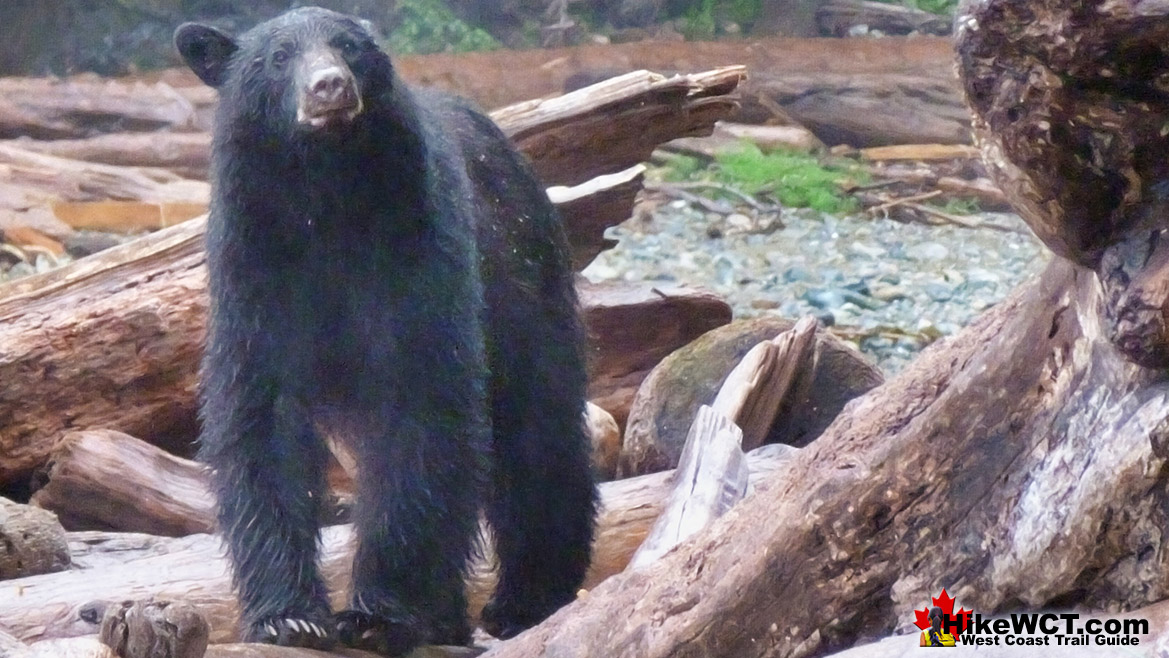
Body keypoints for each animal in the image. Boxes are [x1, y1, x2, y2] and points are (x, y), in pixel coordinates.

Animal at [175, 7, 593, 654]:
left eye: (349, 46)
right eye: (277, 57)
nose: (329, 86)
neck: (328, 195)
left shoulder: (415, 247)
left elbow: (419, 412)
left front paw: (379, 614)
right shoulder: (255, 271)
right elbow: (260, 420)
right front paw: (288, 615)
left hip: (524, 286)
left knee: (538, 433)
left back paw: (526, 598)